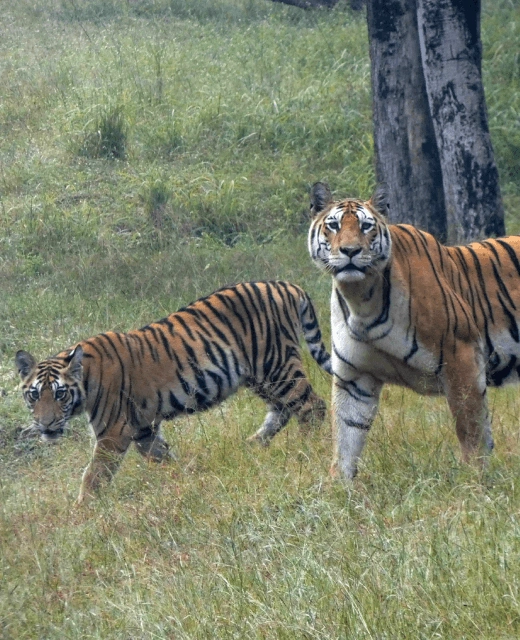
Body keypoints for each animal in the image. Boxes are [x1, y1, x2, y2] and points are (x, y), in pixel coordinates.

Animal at [15, 281, 331, 504]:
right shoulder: (143, 429)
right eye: (34, 395)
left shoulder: (113, 433)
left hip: (276, 365)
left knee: (312, 407)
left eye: (60, 394)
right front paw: (187, 477)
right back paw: (252, 445)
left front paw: (82, 511)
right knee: (283, 410)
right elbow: (163, 456)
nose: (45, 425)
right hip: (259, 377)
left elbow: (93, 475)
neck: (87, 381)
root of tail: (287, 285)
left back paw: (306, 449)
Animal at [308, 180, 520, 481]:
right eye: (334, 225)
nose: (350, 251)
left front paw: (473, 479)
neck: (361, 298)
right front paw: (337, 485)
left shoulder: (461, 357)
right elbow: (346, 436)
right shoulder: (354, 376)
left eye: (366, 226)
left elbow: (471, 428)